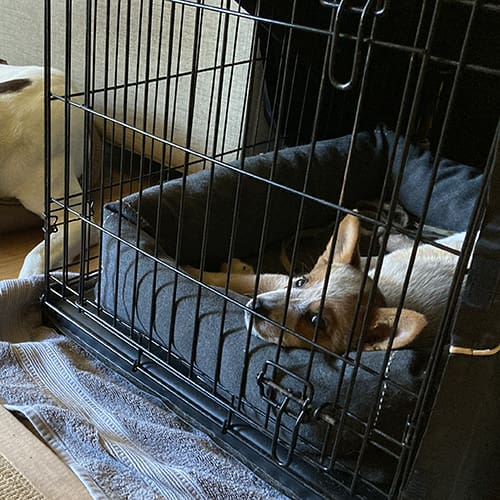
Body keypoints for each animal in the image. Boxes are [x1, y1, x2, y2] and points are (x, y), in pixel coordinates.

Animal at [188, 217, 464, 354]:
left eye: (316, 321)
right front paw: (192, 270)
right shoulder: (285, 280)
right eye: (301, 282)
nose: (257, 307)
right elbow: (248, 279)